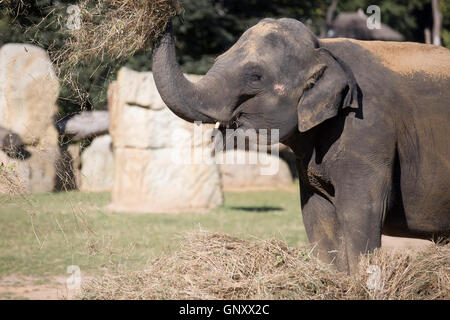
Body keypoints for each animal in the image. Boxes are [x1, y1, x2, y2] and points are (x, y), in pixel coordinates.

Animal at [152, 18, 450, 272]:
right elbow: (317, 214)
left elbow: (360, 212)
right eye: (218, 59)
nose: (166, 16)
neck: (323, 48)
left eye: (255, 76)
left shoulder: (368, 128)